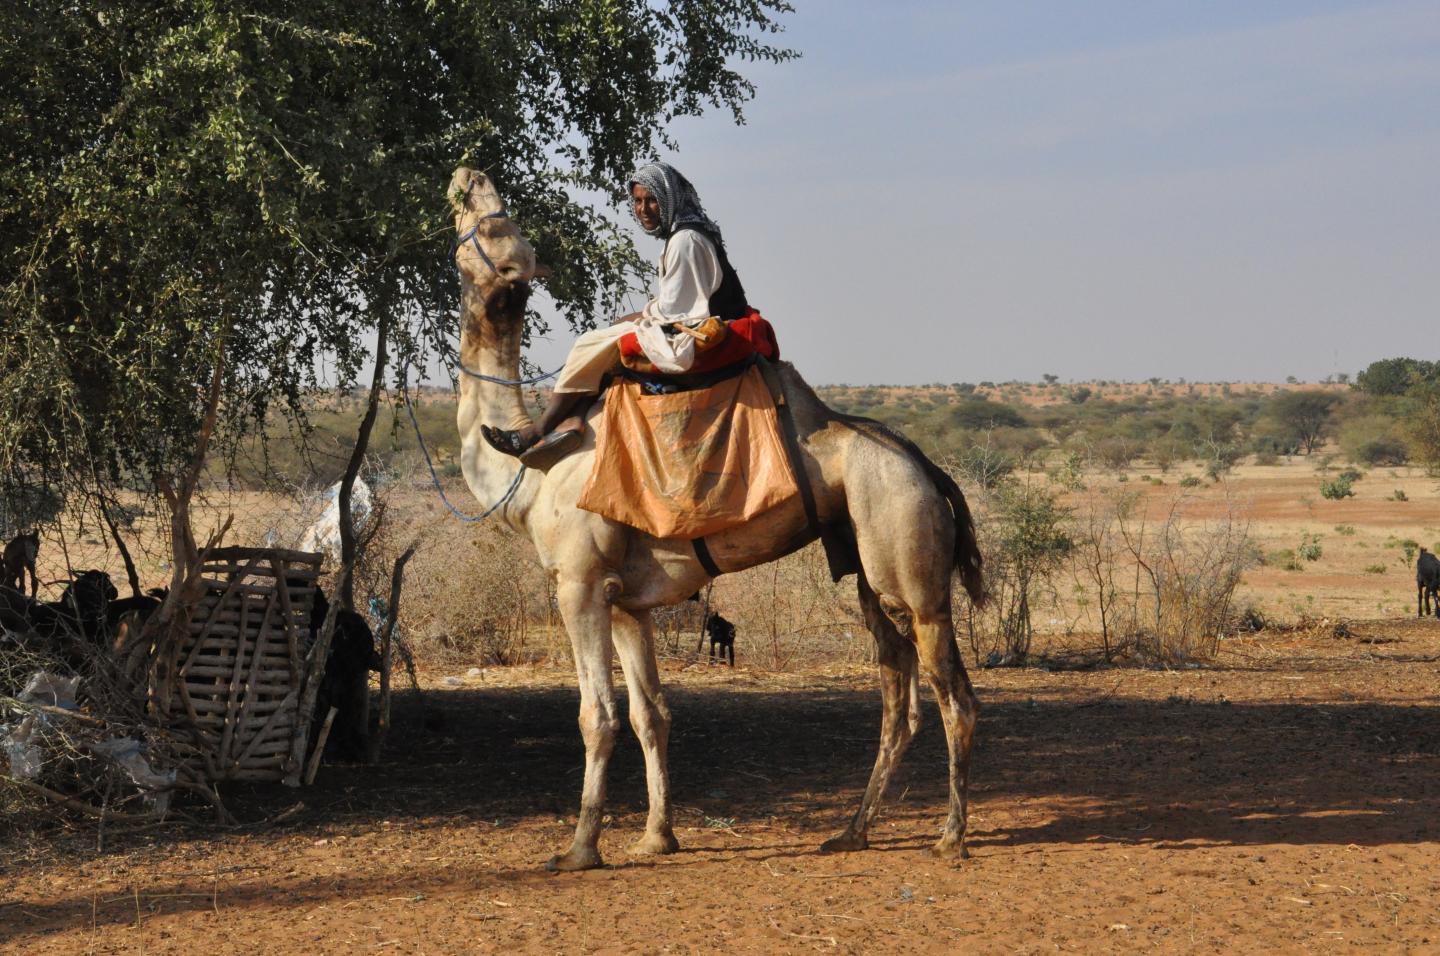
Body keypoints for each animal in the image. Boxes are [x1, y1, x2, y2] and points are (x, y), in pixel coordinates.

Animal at [447, 167, 986, 870]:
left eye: (492, 224)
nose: (467, 175)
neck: (532, 471)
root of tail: (928, 468)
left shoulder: (580, 583)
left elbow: (598, 715)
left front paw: (579, 848)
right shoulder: (629, 601)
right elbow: (651, 714)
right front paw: (657, 836)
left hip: (907, 552)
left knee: (954, 694)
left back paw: (951, 835)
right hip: (866, 561)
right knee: (899, 696)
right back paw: (851, 832)